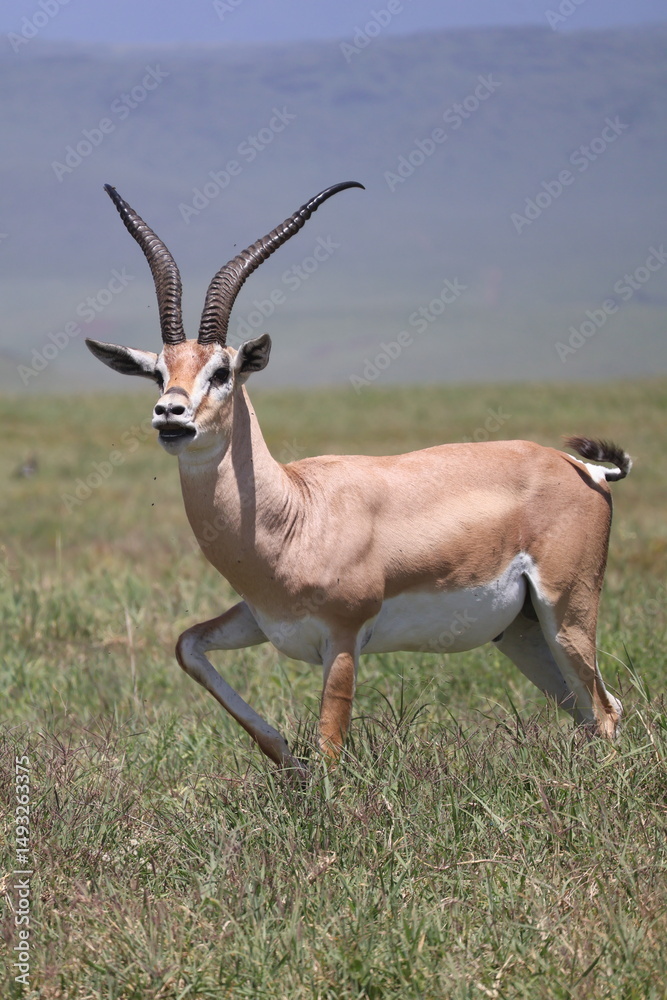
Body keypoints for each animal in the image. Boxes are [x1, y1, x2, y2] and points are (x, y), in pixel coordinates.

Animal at [87, 181, 631, 773]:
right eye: (159, 372)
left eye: (222, 371)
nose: (171, 414)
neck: (295, 513)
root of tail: (583, 468)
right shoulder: (264, 620)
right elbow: (188, 645)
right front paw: (287, 758)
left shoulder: (344, 638)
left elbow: (331, 746)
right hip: (521, 632)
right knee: (590, 711)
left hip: (567, 611)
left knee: (606, 710)